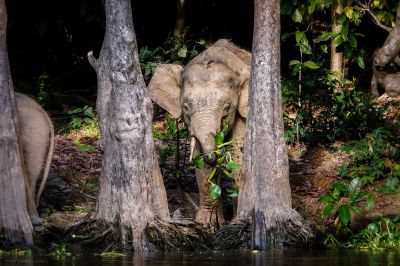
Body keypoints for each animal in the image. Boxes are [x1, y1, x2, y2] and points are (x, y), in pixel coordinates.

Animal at [147, 40, 250, 227]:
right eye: (186, 108)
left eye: (226, 109)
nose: (217, 154)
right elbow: (200, 158)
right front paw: (207, 223)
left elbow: (238, 154)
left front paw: (235, 222)